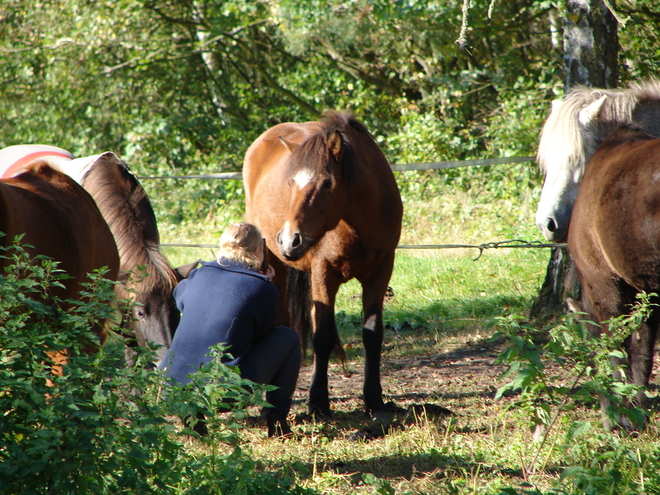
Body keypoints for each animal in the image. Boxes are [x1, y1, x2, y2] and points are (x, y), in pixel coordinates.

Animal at [244, 110, 402, 416]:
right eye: (290, 183)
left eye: (328, 183)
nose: (289, 240)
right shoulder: (323, 273)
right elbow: (323, 336)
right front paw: (318, 402)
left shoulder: (381, 272)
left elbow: (372, 334)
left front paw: (374, 400)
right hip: (276, 265)